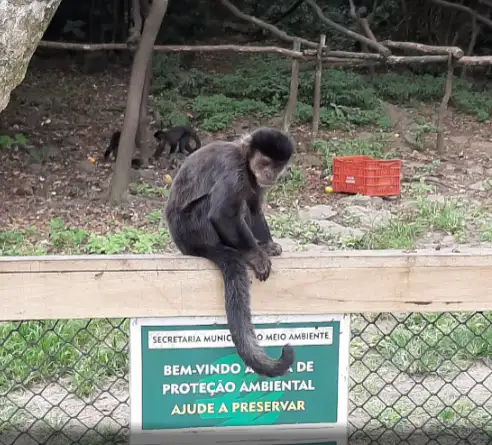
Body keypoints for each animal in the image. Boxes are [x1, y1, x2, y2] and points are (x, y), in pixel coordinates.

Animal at [165, 126, 296, 376]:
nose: (270, 175)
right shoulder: (234, 168)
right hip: (193, 228)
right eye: (264, 163)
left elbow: (255, 208)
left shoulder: (255, 181)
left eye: (277, 166)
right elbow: (222, 214)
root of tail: (185, 244)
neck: (246, 161)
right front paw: (256, 255)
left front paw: (267, 245)